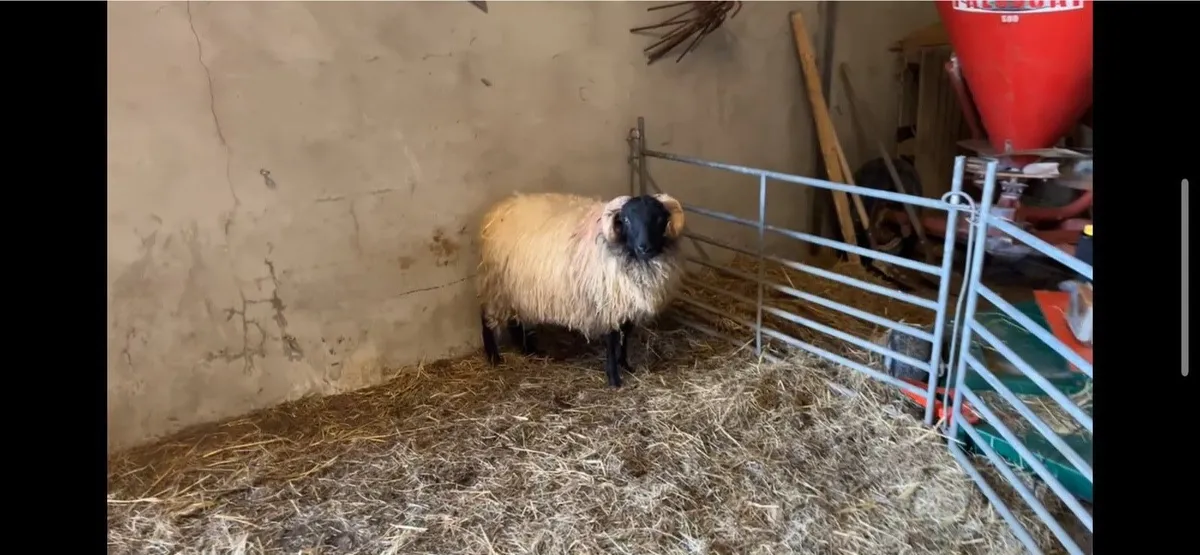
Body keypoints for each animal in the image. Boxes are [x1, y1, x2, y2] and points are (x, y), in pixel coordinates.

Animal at [476, 191, 687, 387]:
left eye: (659, 218)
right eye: (626, 219)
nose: (645, 247)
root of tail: (497, 210)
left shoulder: (626, 305)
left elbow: (625, 337)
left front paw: (625, 365)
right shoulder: (607, 305)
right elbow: (612, 342)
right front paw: (614, 378)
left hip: (514, 289)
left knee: (514, 320)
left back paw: (528, 350)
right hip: (496, 286)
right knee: (487, 317)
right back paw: (494, 357)